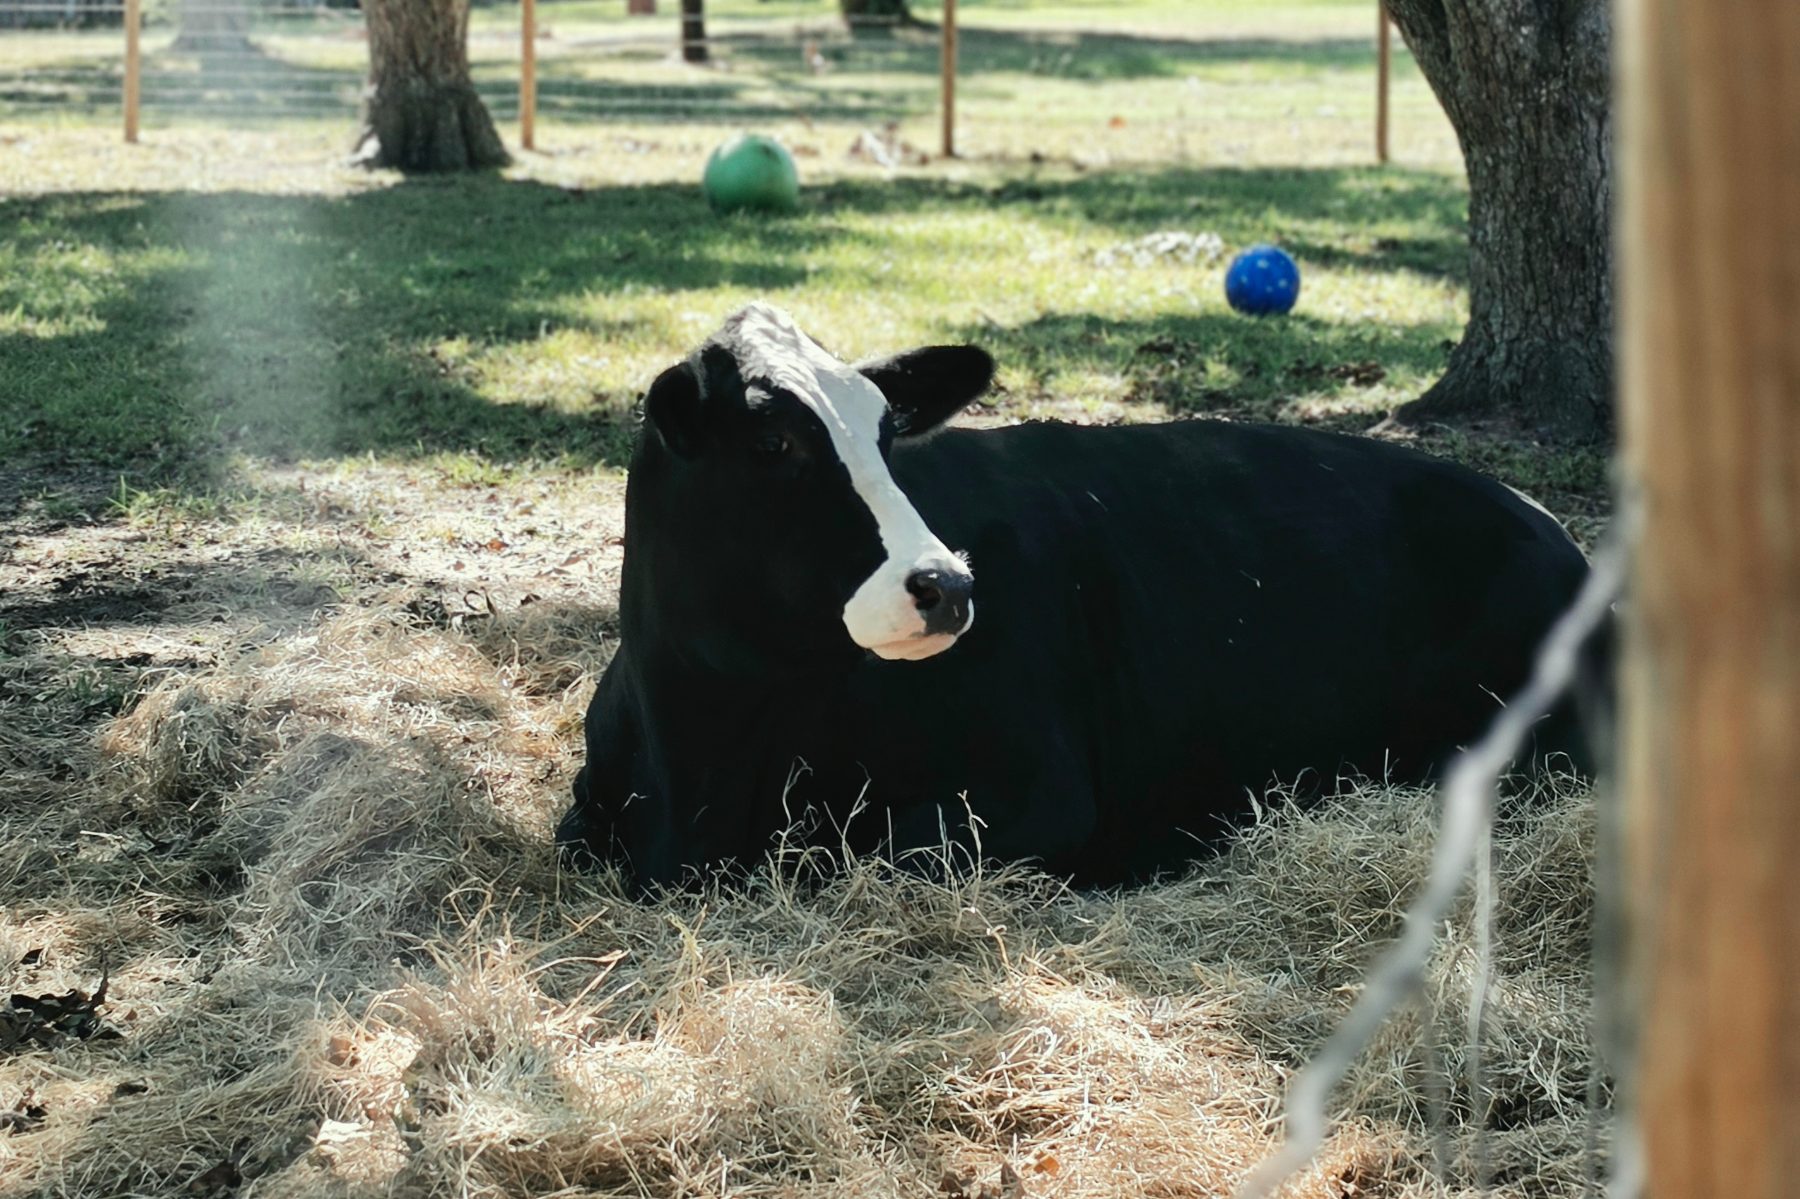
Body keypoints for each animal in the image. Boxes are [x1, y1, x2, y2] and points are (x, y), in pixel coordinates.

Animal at [556, 303, 1596, 892]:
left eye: (888, 434)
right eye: (772, 442)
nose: (948, 583)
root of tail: (1546, 523)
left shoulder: (1038, 788)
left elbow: (846, 853)